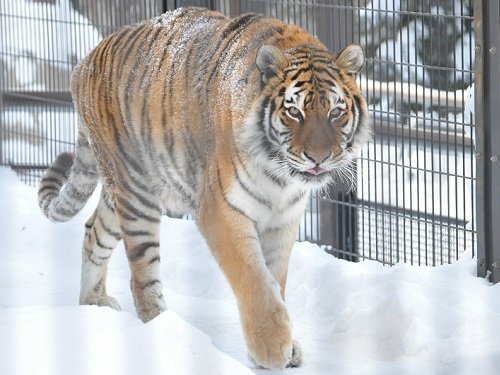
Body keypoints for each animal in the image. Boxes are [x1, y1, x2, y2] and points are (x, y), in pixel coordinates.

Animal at [37, 5, 370, 370]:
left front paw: (283, 344)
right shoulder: (221, 210)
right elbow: (254, 279)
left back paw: (92, 302)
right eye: (294, 111)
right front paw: (271, 348)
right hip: (136, 196)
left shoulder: (283, 220)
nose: (319, 158)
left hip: (119, 192)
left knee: (93, 232)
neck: (281, 178)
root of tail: (85, 60)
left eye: (336, 111)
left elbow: (274, 281)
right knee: (143, 274)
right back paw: (164, 329)